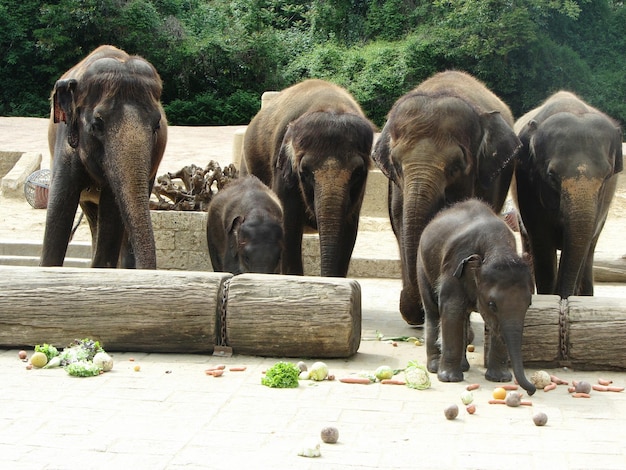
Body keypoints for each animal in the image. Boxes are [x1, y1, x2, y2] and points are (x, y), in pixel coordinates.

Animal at [241, 76, 372, 276]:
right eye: (305, 171)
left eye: (357, 172)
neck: (331, 104)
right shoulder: (283, 172)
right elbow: (289, 226)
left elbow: (349, 231)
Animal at [416, 196, 532, 394]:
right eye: (492, 304)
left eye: (529, 304)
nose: (531, 391)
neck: (497, 247)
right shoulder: (454, 266)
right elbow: (452, 310)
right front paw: (449, 379)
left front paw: (499, 379)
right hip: (422, 265)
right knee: (433, 311)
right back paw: (434, 367)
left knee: (464, 316)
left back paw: (462, 366)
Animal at [512, 91, 620, 298]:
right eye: (551, 176)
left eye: (606, 177)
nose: (563, 298)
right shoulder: (528, 187)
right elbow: (542, 242)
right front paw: (549, 296)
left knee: (590, 250)